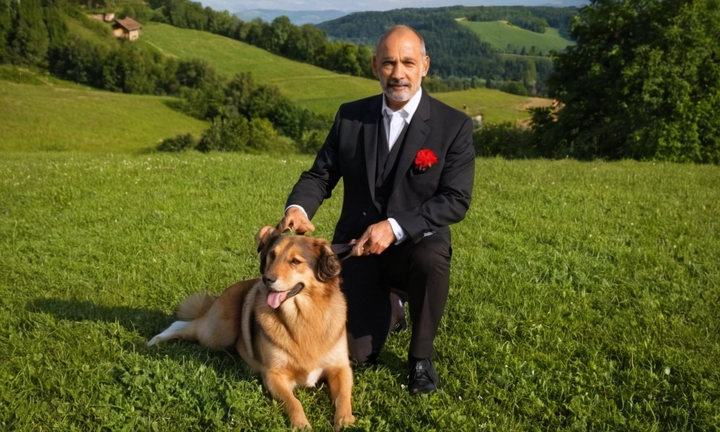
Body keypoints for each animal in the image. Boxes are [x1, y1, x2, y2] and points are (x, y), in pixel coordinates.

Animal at [148, 228, 356, 430]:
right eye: (272, 255)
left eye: (295, 261)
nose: (266, 279)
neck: (303, 316)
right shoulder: (273, 375)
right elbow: (294, 402)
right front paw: (301, 424)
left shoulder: (341, 368)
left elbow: (343, 397)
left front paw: (345, 421)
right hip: (218, 334)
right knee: (187, 325)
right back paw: (155, 340)